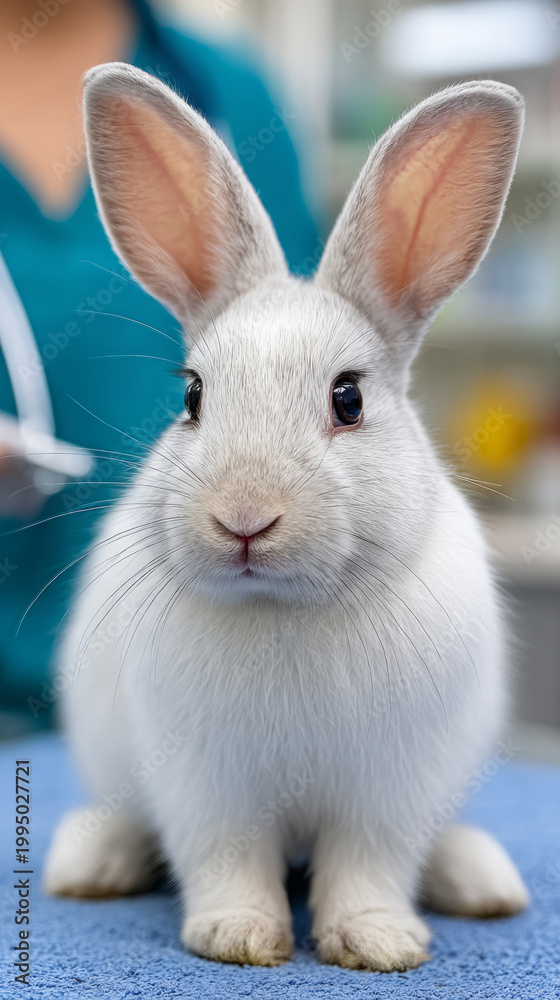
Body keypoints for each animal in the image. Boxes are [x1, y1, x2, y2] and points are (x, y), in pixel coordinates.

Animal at [43, 64, 529, 972]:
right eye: (192, 398)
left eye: (349, 399)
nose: (244, 519)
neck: (284, 611)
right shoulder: (208, 785)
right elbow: (226, 859)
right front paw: (237, 936)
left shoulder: (389, 790)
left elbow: (370, 865)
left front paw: (377, 942)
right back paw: (89, 863)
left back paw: (483, 882)